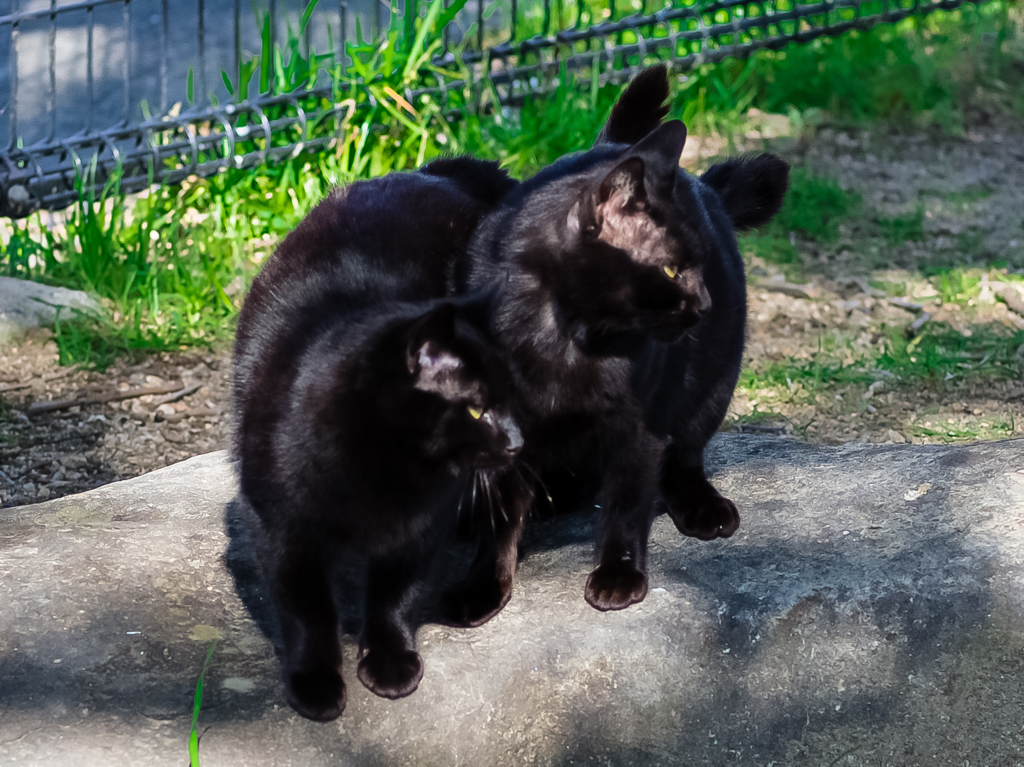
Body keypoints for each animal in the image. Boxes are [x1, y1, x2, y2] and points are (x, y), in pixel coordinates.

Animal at [231, 158, 520, 720]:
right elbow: (307, 611)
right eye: (477, 407)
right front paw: (316, 684)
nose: (517, 439)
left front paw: (390, 662)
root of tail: (439, 170)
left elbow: (394, 595)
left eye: (508, 397)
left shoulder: (420, 526)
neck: (387, 473)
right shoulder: (279, 530)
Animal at [442, 62, 790, 618]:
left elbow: (627, 501)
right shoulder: (499, 423)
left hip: (712, 384)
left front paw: (619, 574)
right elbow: (497, 518)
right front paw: (482, 587)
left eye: (699, 264)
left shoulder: (639, 424)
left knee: (685, 454)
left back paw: (701, 506)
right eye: (670, 269)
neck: (565, 342)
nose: (705, 302)